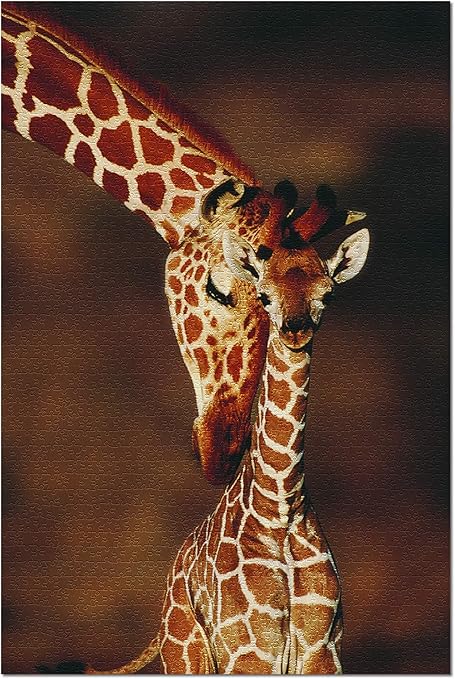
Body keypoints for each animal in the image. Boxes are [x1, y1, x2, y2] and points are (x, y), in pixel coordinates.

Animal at [84, 213, 370, 675]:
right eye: (265, 295)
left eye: (327, 294)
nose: (295, 330)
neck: (281, 508)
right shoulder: (249, 651)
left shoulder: (322, 650)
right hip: (187, 654)